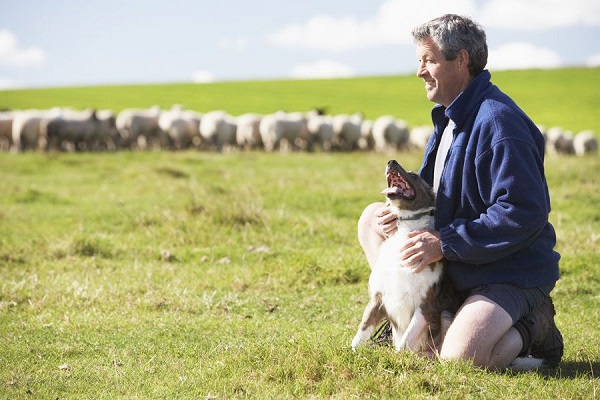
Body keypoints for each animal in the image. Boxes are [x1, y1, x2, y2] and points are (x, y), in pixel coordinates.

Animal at [352, 159, 454, 354]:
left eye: (414, 175)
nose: (391, 161)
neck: (405, 230)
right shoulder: (379, 296)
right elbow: (363, 328)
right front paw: (350, 352)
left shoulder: (426, 304)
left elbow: (405, 341)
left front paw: (395, 358)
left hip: (445, 315)